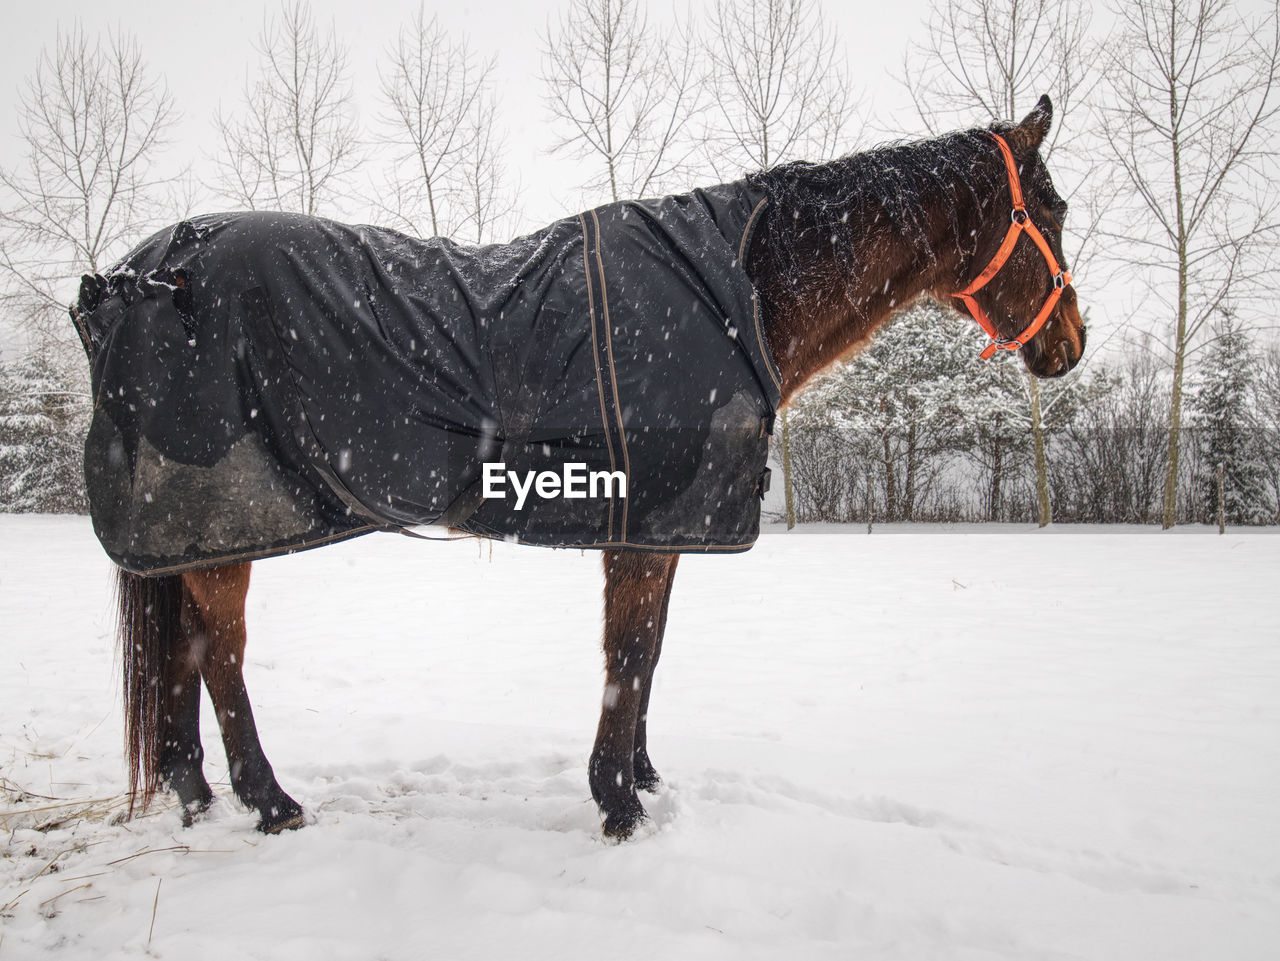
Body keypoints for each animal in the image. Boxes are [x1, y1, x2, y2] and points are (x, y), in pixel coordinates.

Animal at [77, 94, 1080, 839]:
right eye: (1056, 211)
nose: (1071, 344)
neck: (737, 293)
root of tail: (140, 273)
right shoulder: (642, 527)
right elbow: (628, 654)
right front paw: (618, 801)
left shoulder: (661, 527)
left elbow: (650, 652)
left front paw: (641, 774)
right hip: (225, 529)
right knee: (218, 656)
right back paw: (270, 802)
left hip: (189, 540)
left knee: (181, 658)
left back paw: (196, 795)